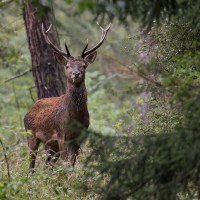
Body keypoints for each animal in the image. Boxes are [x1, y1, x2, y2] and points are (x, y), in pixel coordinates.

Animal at [24, 22, 111, 172]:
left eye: (84, 65)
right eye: (67, 66)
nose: (76, 73)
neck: (75, 117)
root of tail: (29, 110)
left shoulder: (79, 137)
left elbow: (72, 163)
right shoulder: (61, 135)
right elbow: (66, 164)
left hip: (51, 144)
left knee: (48, 165)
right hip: (31, 135)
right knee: (31, 164)